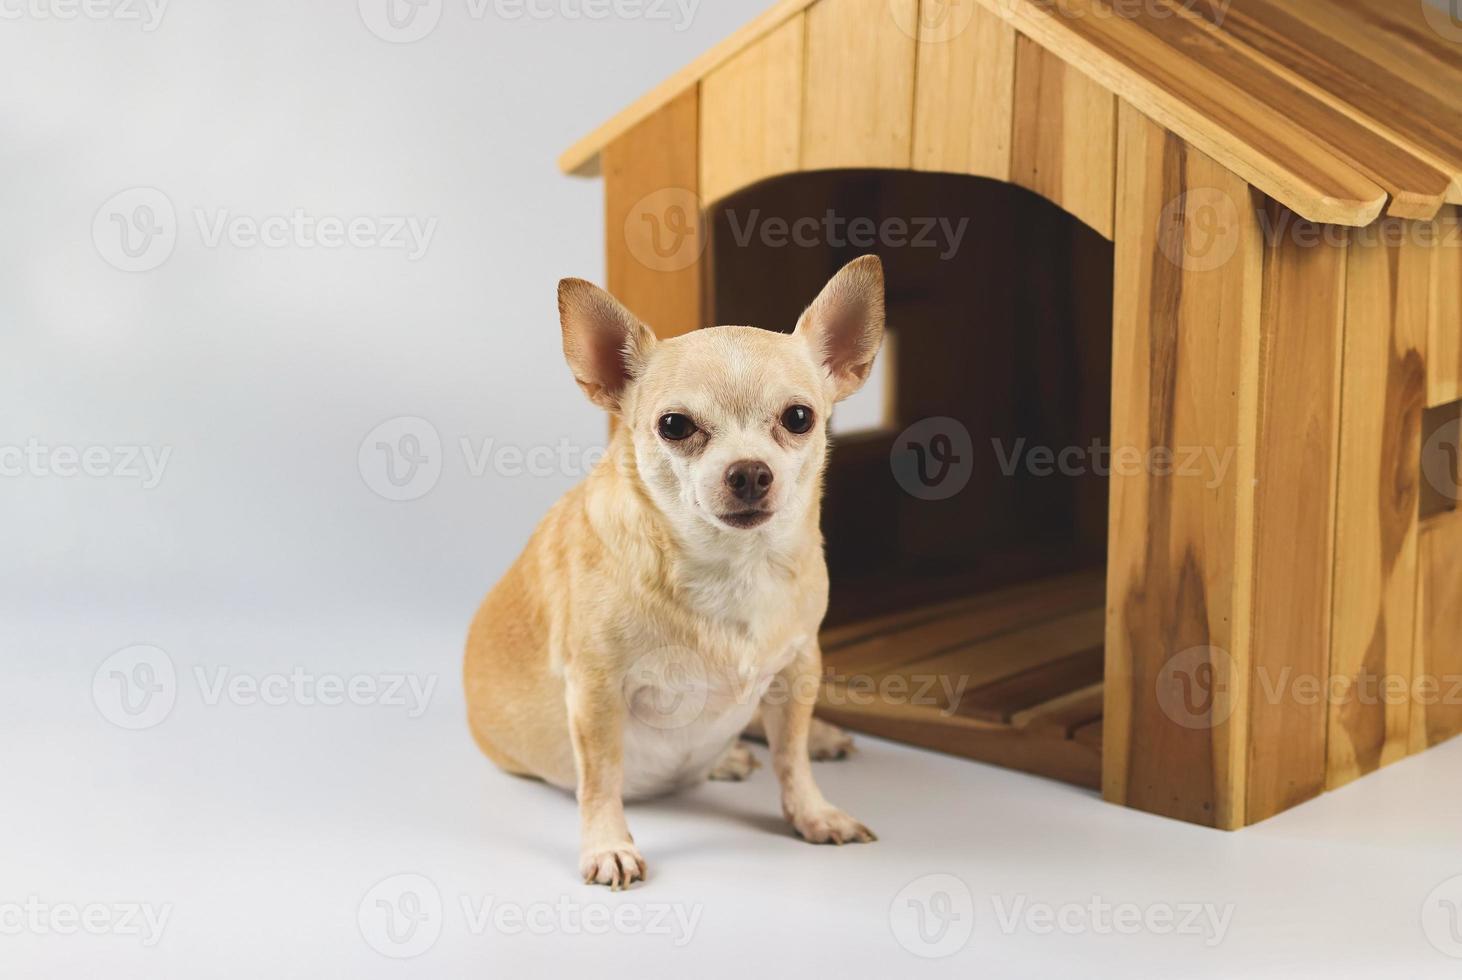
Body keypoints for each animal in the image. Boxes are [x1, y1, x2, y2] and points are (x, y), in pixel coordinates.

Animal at [461, 253, 883, 889]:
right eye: (675, 426)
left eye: (799, 418)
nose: (750, 471)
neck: (731, 567)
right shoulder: (596, 692)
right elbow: (602, 777)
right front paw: (608, 845)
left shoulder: (798, 667)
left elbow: (791, 757)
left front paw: (812, 812)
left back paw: (810, 738)